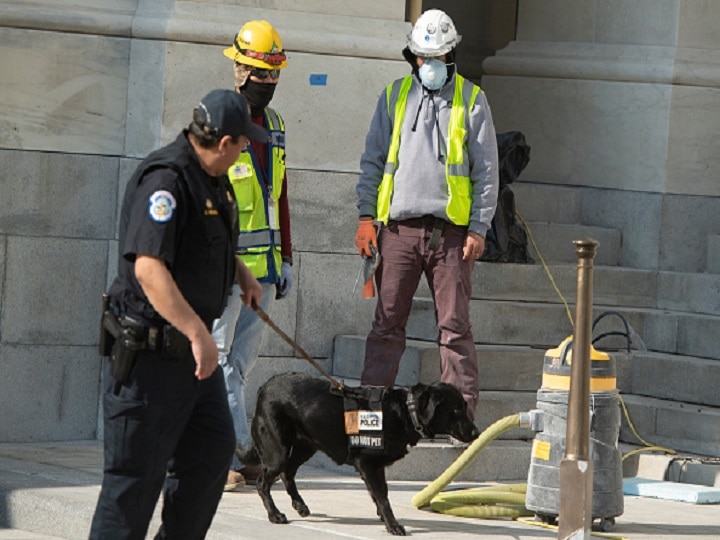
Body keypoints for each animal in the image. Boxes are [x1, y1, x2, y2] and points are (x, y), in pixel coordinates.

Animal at [239, 372, 480, 536]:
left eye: (464, 406)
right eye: (456, 410)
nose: (476, 433)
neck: (405, 412)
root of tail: (265, 386)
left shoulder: (377, 467)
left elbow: (380, 494)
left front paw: (383, 517)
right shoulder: (368, 464)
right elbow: (382, 497)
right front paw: (392, 524)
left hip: (306, 445)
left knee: (287, 473)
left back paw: (299, 505)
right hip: (277, 451)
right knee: (263, 482)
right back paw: (274, 514)